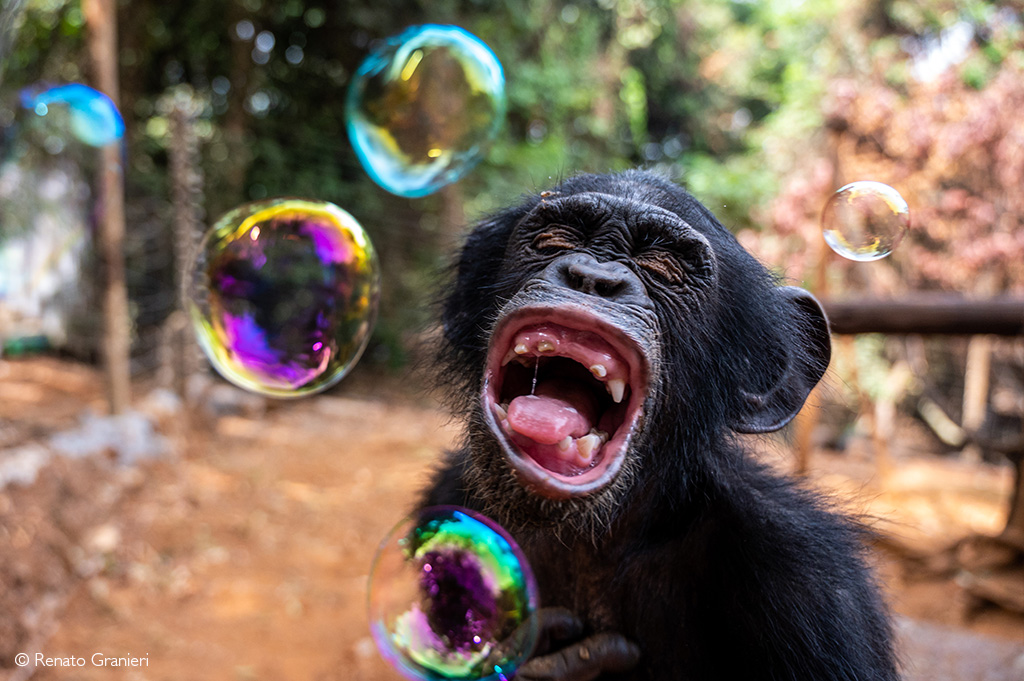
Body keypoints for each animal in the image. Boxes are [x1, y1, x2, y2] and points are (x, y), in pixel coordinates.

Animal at [422, 170, 899, 681]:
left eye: (663, 265)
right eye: (554, 240)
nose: (594, 277)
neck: (595, 536)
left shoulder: (815, 587)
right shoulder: (445, 501)